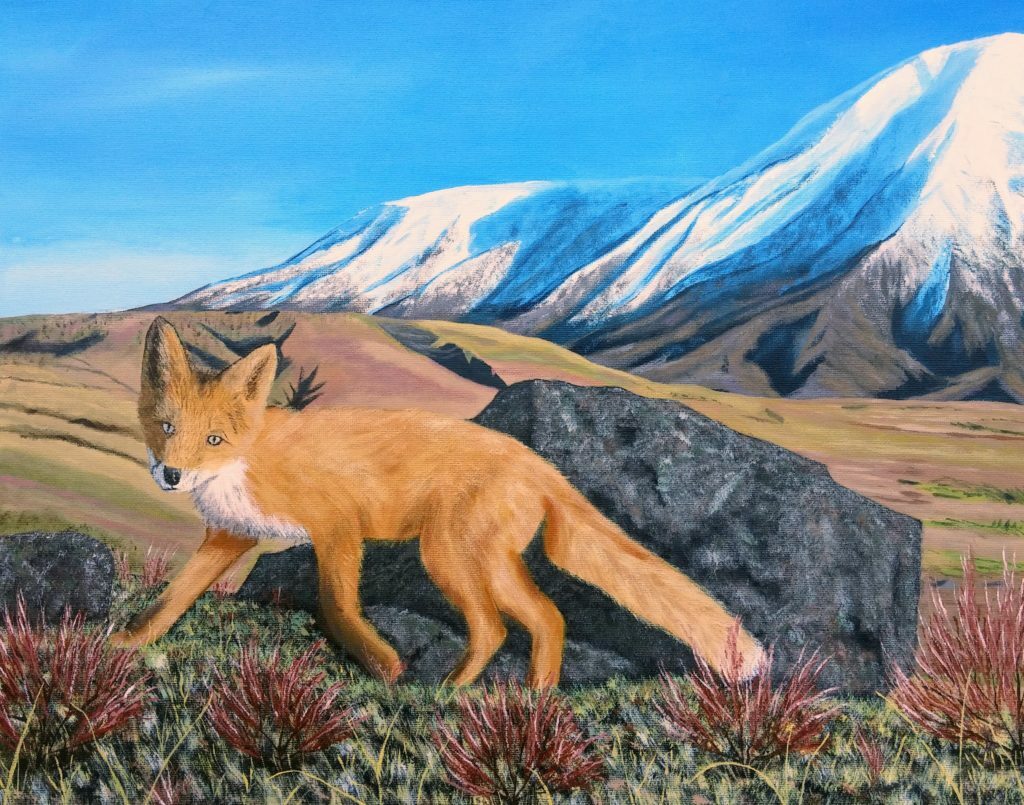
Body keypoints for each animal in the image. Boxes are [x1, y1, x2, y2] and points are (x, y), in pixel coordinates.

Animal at [112, 316, 765, 687]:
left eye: (213, 439)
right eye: (167, 428)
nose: (172, 475)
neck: (249, 459)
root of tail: (536, 462)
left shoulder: (337, 526)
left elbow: (336, 604)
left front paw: (381, 664)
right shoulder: (232, 535)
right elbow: (171, 600)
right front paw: (124, 645)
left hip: (447, 556)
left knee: (503, 626)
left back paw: (456, 693)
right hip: (484, 562)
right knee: (543, 619)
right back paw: (530, 700)